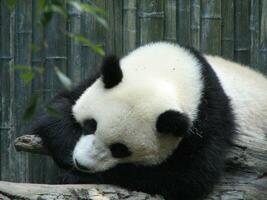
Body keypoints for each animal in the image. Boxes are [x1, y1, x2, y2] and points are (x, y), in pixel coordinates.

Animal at [26, 42, 267, 200]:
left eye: (120, 149)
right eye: (90, 125)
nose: (81, 163)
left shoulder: (208, 117)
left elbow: (187, 178)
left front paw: (77, 176)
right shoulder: (94, 80)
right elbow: (56, 109)